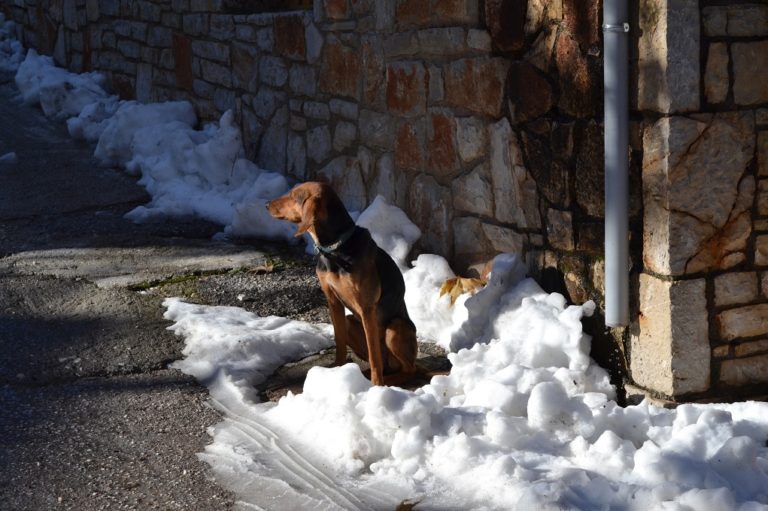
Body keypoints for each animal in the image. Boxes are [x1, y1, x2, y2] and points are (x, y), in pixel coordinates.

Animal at [266, 182, 420, 386]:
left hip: (394, 328)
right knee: (386, 362)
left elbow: (374, 356)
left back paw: (388, 380)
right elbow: (339, 343)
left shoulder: (367, 308)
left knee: (408, 369)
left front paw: (376, 385)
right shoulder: (333, 302)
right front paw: (336, 371)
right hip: (350, 322)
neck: (335, 249)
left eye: (294, 196)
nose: (266, 204)